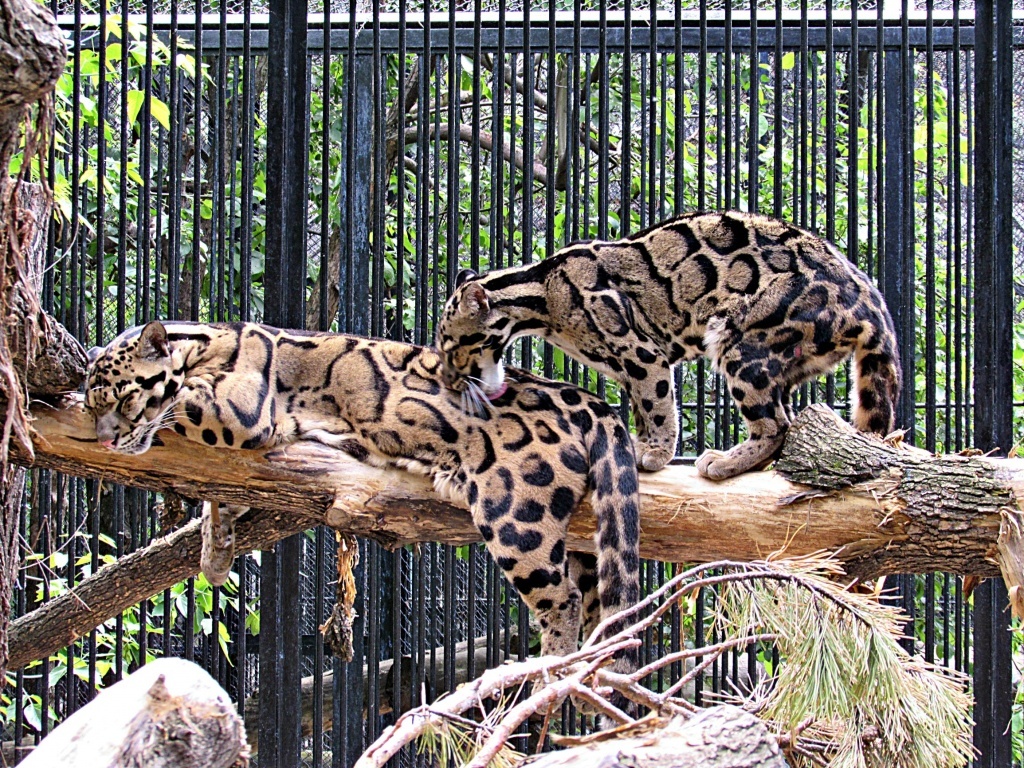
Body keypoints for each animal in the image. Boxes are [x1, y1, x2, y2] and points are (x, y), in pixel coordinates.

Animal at [88, 321, 643, 684]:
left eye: (123, 397)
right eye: (97, 405)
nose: (104, 439)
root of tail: (589, 398)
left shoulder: (241, 409)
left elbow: (180, 403)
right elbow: (221, 497)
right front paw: (215, 552)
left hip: (517, 516)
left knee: (562, 599)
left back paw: (550, 670)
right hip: (585, 541)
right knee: (600, 604)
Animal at [436, 207, 901, 479]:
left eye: (454, 348)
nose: (450, 380)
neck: (542, 293)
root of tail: (869, 299)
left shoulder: (642, 353)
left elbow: (658, 405)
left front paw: (657, 453)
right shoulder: (629, 368)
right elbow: (642, 411)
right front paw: (643, 445)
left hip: (740, 341)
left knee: (776, 425)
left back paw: (725, 461)